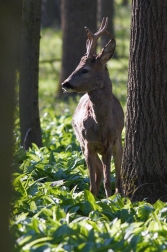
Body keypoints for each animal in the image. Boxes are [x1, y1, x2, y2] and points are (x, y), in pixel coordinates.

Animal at [61, 17, 124, 198]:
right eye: (77, 67)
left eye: (85, 70)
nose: (65, 84)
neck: (101, 126)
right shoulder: (88, 144)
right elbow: (93, 183)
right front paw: (92, 202)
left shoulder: (109, 143)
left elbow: (108, 180)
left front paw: (110, 200)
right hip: (81, 144)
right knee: (97, 174)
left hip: (118, 141)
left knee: (118, 172)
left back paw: (120, 193)